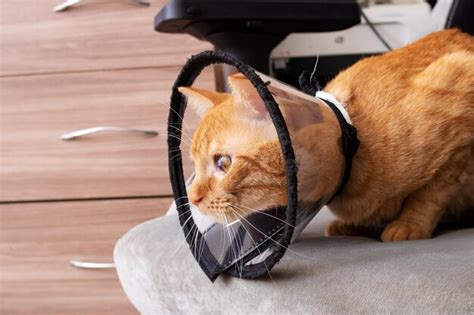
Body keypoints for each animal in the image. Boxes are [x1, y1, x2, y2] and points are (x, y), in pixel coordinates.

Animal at [180, 29, 472, 242]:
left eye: (223, 163)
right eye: (194, 167)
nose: (191, 198)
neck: (351, 140)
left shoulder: (461, 108)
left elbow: (432, 192)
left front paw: (410, 222)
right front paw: (355, 225)